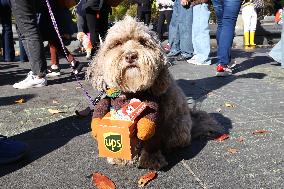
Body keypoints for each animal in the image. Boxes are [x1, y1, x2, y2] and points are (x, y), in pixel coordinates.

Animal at [87, 16, 221, 170]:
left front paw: (150, 159)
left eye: (142, 42)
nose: (131, 55)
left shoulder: (158, 119)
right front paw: (122, 156)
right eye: (117, 43)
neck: (134, 92)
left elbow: (151, 139)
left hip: (179, 128)